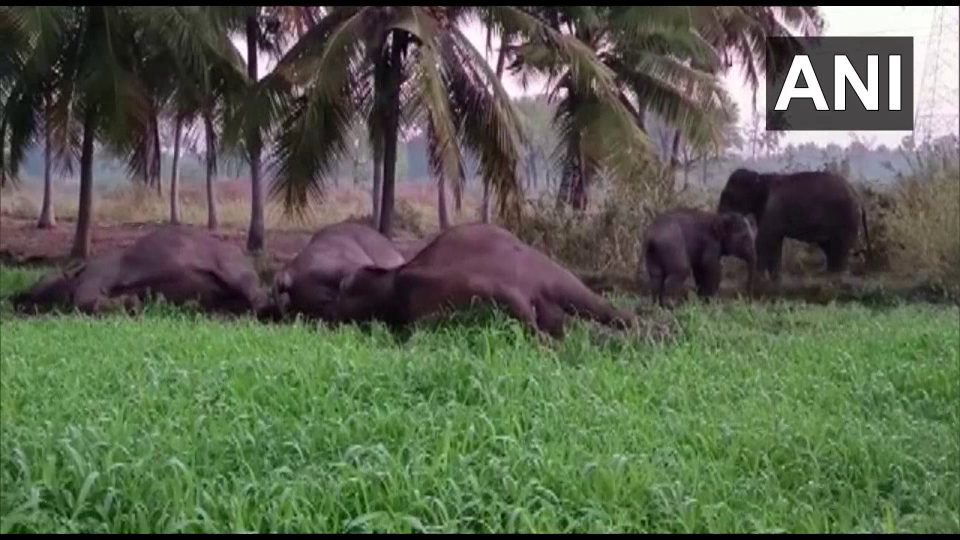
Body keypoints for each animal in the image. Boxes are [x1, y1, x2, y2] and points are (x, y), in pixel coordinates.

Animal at [9, 227, 268, 316]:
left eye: (41, 278)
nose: (17, 298)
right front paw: (133, 302)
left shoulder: (96, 277)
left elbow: (83, 300)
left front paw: (131, 303)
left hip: (233, 268)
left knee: (256, 295)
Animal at [712, 168, 872, 282]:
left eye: (728, 195)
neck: (762, 178)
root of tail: (859, 198)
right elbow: (774, 240)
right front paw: (775, 278)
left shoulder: (773, 208)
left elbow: (764, 239)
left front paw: (761, 278)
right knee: (830, 248)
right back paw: (830, 276)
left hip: (846, 219)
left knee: (840, 249)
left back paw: (836, 277)